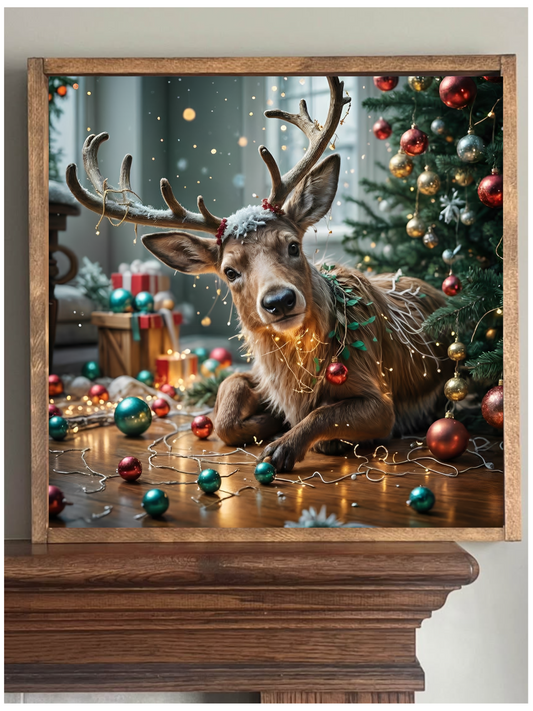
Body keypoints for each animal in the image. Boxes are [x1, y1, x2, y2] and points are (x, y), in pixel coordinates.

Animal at [66, 76, 450, 473]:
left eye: (293, 246)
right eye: (230, 271)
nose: (279, 301)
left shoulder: (380, 397)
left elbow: (322, 414)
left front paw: (284, 444)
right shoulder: (262, 374)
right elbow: (226, 404)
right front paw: (269, 420)